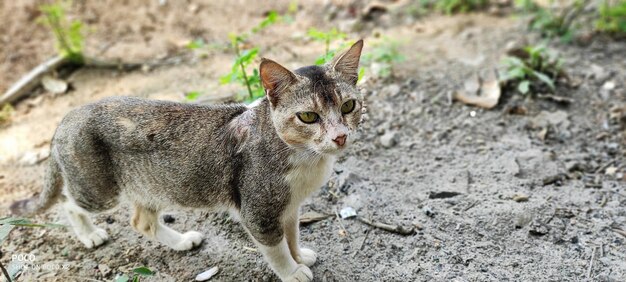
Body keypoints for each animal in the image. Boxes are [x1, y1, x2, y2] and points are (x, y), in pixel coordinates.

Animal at [9, 39, 364, 282]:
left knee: (141, 221)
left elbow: (292, 235)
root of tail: (67, 117)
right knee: (68, 203)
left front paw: (300, 256)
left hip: (149, 186)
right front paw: (292, 271)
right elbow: (275, 246)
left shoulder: (289, 207)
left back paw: (180, 242)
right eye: (308, 116)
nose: (339, 137)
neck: (306, 160)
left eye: (348, 106)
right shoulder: (259, 211)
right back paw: (89, 234)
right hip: (98, 190)